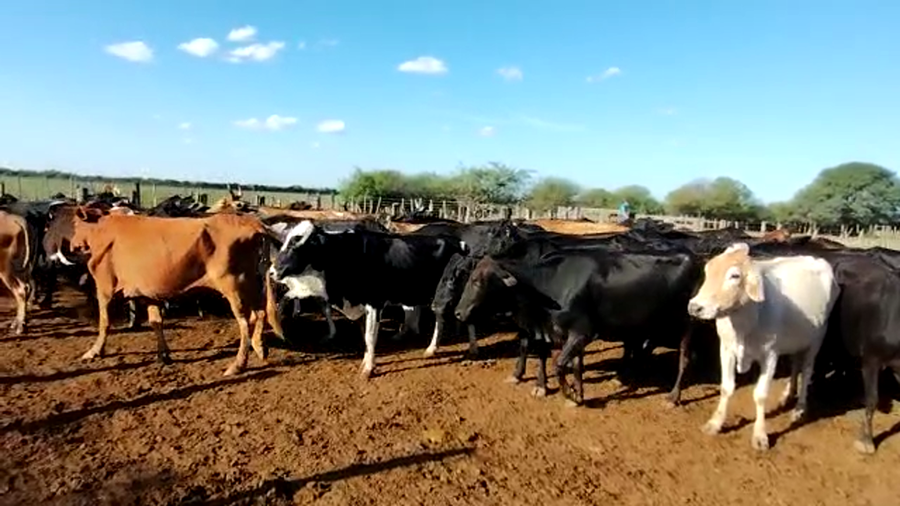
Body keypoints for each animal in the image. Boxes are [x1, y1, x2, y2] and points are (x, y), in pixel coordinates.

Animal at [54, 208, 283, 376]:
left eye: (75, 224)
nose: (71, 244)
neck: (102, 230)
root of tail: (252, 222)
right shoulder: (149, 293)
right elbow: (156, 322)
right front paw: (163, 355)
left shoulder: (105, 286)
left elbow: (104, 322)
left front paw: (94, 351)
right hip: (251, 284)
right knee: (261, 313)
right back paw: (260, 347)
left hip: (233, 285)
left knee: (246, 321)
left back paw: (238, 365)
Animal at [270, 221, 466, 378]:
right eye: (284, 242)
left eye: (296, 243)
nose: (272, 272)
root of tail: (456, 241)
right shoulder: (360, 304)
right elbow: (365, 336)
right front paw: (366, 363)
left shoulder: (375, 302)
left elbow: (370, 337)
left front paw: (368, 370)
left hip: (444, 292)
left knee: (441, 317)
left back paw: (433, 347)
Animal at [687, 242, 840, 451]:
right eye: (708, 270)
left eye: (734, 276)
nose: (695, 307)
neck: (745, 323)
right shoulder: (726, 348)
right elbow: (726, 387)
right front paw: (715, 423)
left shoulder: (770, 355)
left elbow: (760, 395)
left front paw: (760, 435)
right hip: (796, 341)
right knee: (795, 365)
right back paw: (787, 394)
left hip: (817, 339)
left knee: (807, 370)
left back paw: (799, 408)